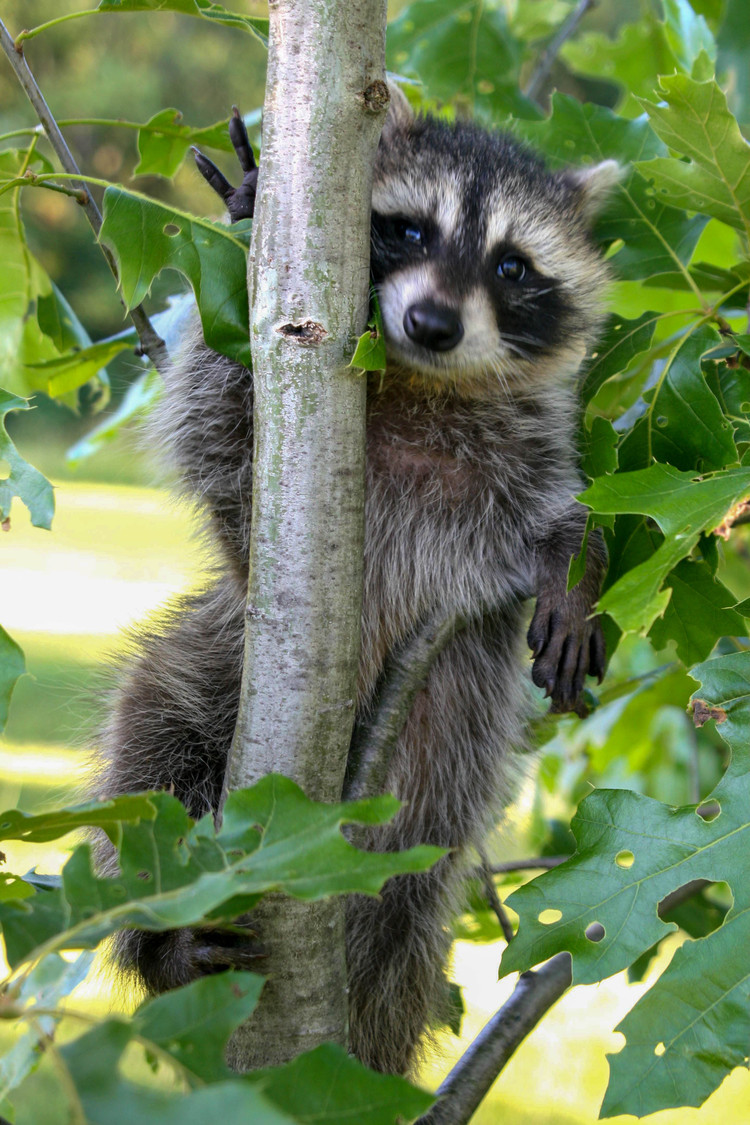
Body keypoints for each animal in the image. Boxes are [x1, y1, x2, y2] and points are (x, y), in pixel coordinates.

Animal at [96, 85, 616, 1071]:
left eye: (513, 265)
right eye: (409, 231)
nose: (434, 324)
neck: (420, 385)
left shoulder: (521, 448)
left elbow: (556, 515)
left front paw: (578, 561)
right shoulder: (258, 429)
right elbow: (218, 420)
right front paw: (249, 209)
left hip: (449, 741)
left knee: (415, 878)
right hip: (213, 668)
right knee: (148, 752)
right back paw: (164, 942)